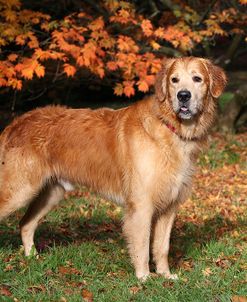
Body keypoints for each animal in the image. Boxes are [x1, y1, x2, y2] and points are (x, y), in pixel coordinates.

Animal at [0, 57, 227, 280]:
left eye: (197, 79)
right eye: (174, 80)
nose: (183, 96)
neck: (168, 126)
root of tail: (16, 122)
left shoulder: (169, 205)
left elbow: (162, 247)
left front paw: (165, 275)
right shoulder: (141, 205)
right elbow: (142, 246)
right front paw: (144, 278)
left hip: (51, 192)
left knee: (26, 224)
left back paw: (32, 258)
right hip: (19, 191)